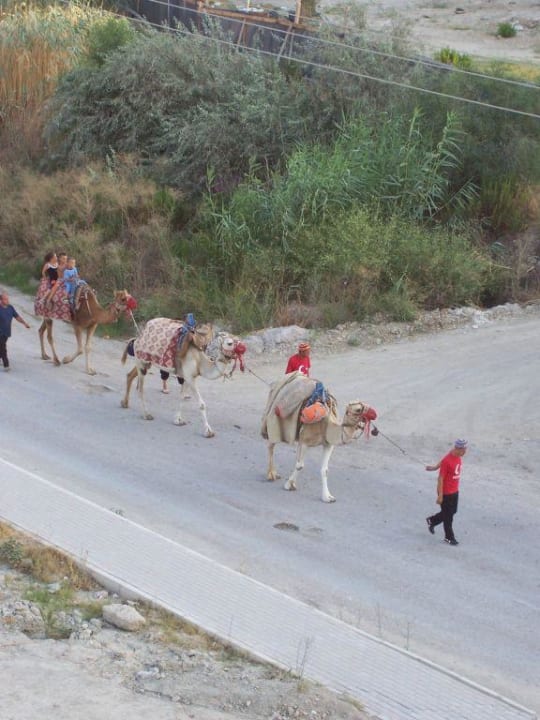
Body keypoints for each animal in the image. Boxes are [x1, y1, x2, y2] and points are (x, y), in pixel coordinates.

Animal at [261, 372, 377, 502]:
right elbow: (300, 465)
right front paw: (288, 485)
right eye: (358, 409)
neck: (326, 424)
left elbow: (324, 470)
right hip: (273, 418)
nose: (374, 414)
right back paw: (271, 474)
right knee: (271, 444)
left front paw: (327, 497)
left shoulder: (328, 444)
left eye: (366, 405)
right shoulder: (305, 441)